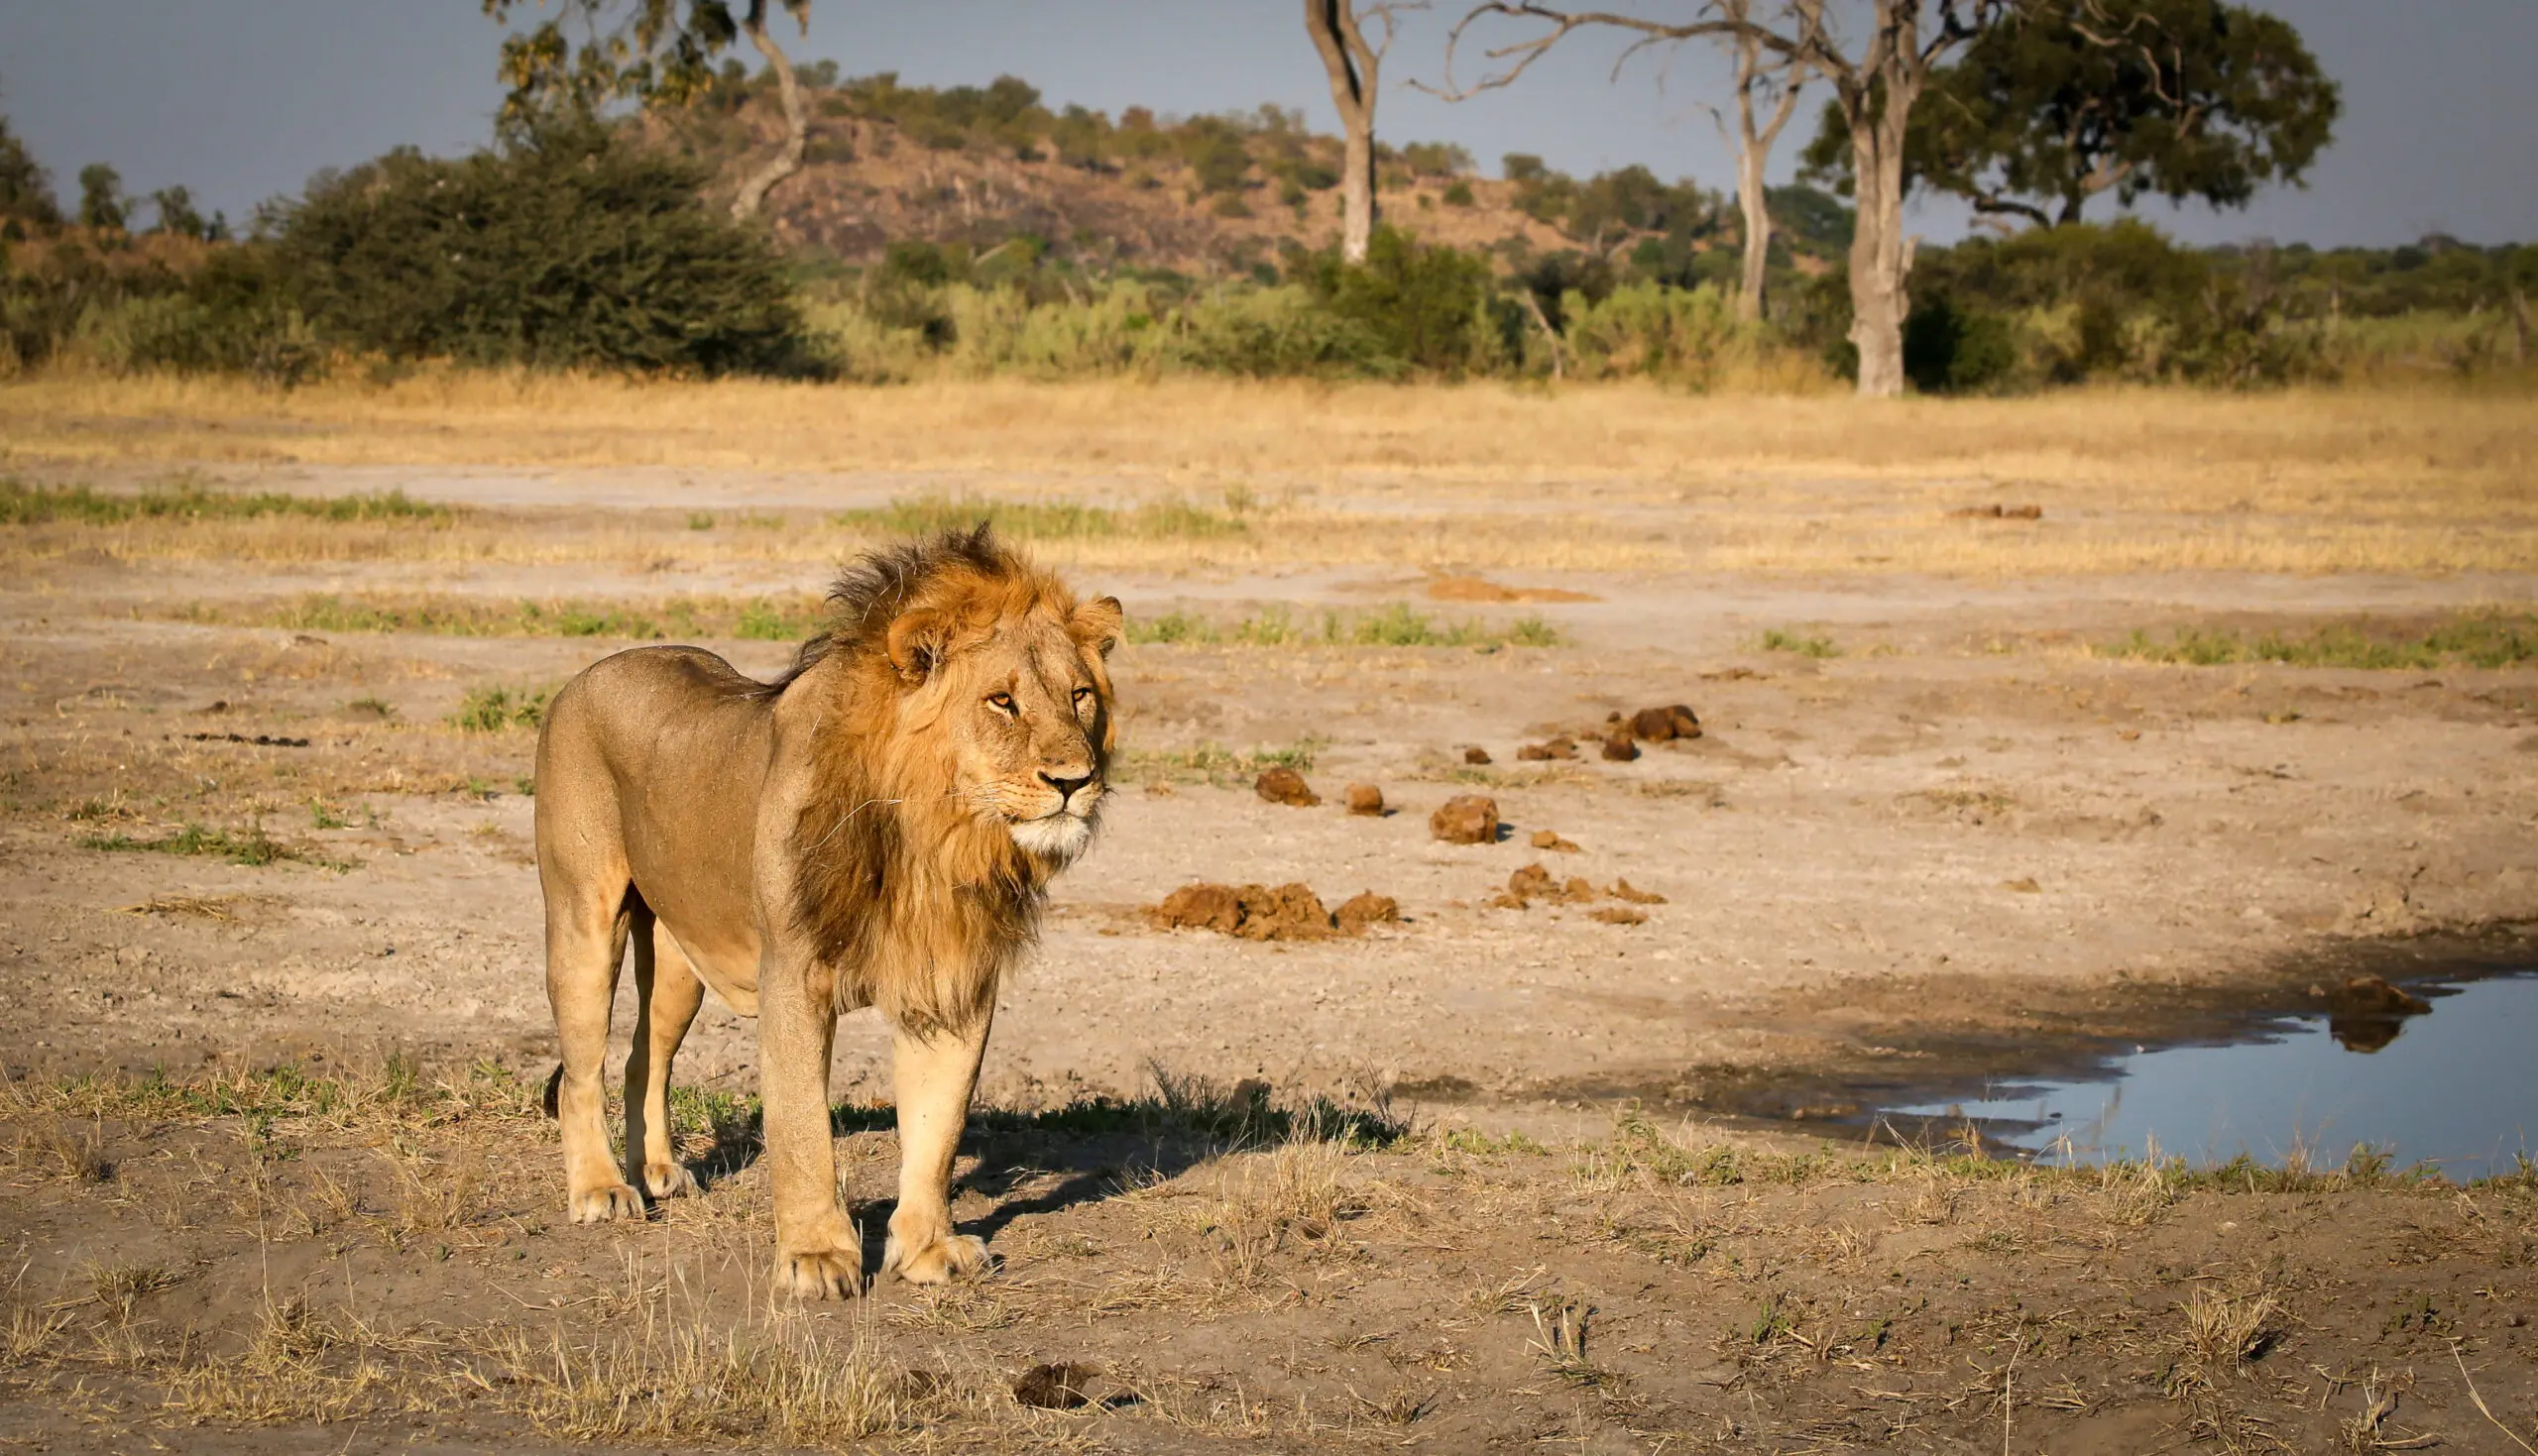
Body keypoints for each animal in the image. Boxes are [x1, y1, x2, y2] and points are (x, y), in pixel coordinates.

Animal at [531, 526, 1121, 1297]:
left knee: (643, 1057)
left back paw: (657, 1171)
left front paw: (928, 1248)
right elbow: (802, 1123)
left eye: (1079, 695)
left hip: (682, 959)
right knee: (581, 1071)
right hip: (584, 920)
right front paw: (816, 1254)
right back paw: (602, 1189)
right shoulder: (793, 973)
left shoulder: (954, 979)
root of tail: (587, 674)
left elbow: (938, 1127)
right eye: (1002, 701)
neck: (936, 834)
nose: (1074, 781)